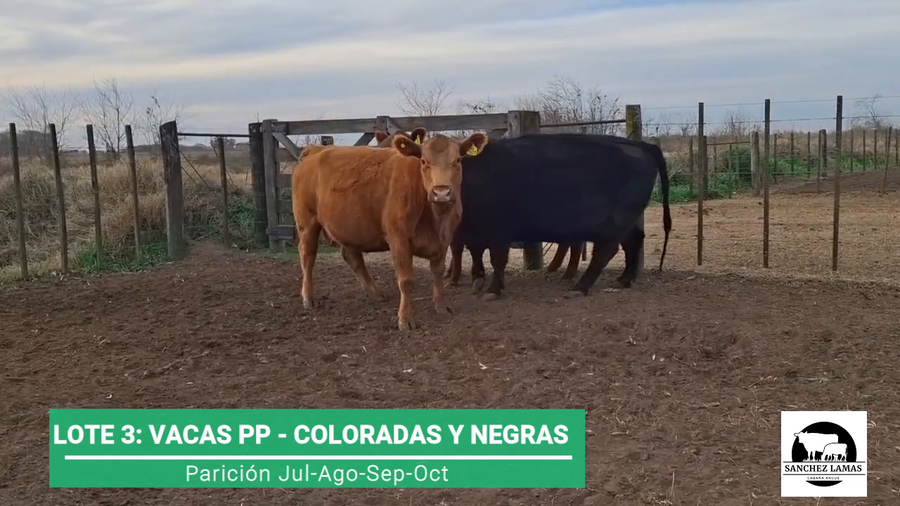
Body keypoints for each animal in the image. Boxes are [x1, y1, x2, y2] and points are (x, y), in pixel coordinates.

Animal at [290, 131, 488, 331]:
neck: (435, 218)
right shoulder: (398, 238)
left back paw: (375, 293)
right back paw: (308, 298)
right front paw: (405, 319)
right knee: (307, 256)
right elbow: (406, 280)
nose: (441, 193)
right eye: (424, 161)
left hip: (349, 228)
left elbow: (438, 272)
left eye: (457, 160)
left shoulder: (444, 239)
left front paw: (441, 306)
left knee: (352, 257)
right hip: (307, 223)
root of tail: (316, 150)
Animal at [447, 132, 672, 300]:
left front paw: (492, 289)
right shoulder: (472, 230)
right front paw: (477, 280)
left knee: (606, 250)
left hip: (614, 221)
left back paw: (580, 287)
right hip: (627, 220)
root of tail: (642, 146)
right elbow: (475, 252)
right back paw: (625, 279)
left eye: (455, 160)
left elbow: (497, 259)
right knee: (633, 240)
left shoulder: (499, 230)